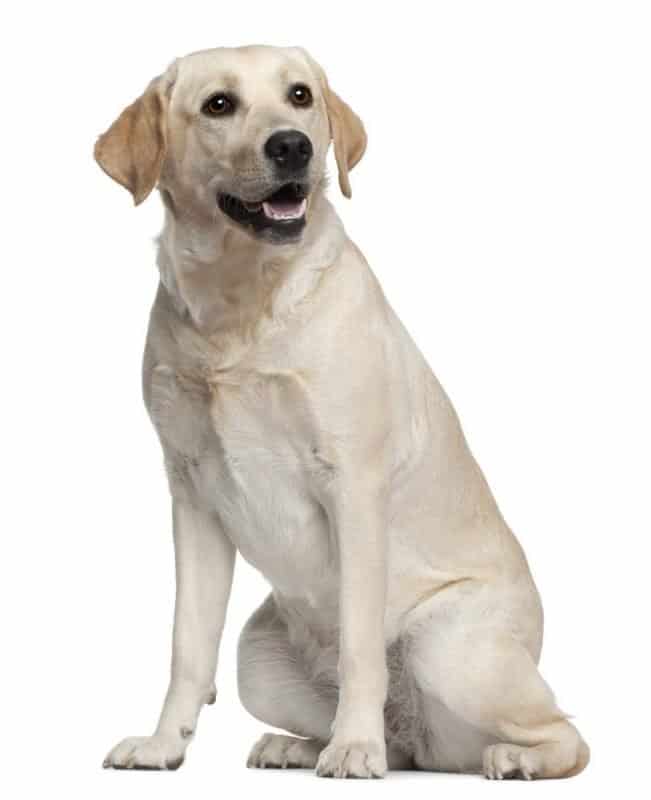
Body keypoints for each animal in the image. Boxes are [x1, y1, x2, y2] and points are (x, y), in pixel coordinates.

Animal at [95, 45, 592, 780]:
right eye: (219, 104)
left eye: (299, 95)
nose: (291, 146)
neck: (241, 305)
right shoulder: (192, 496)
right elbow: (187, 646)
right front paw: (163, 745)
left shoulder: (352, 484)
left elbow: (360, 646)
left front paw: (355, 748)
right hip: (256, 656)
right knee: (401, 741)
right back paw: (299, 745)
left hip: (449, 650)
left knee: (564, 733)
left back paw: (501, 756)